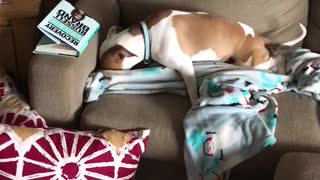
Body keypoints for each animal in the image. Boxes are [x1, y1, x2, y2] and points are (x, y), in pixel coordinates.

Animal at [99, 9, 306, 105]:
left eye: (105, 66)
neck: (145, 35)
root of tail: (260, 37)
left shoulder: (185, 66)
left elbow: (192, 90)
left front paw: (194, 103)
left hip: (252, 62)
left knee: (280, 56)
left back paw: (282, 69)